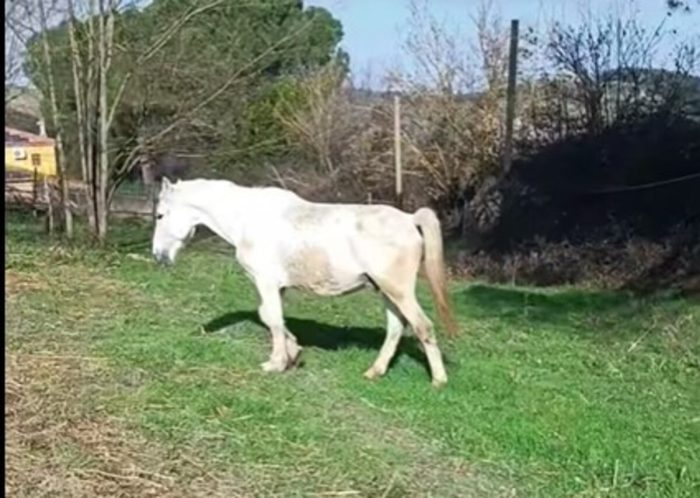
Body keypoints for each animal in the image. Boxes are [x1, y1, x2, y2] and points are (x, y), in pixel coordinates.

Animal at [151, 178, 458, 387]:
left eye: (160, 215)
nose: (158, 256)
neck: (248, 218)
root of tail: (410, 219)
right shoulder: (278, 287)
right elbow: (270, 317)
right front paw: (293, 354)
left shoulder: (265, 282)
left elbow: (272, 319)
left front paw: (275, 363)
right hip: (387, 291)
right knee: (396, 329)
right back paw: (374, 371)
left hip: (398, 291)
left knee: (423, 327)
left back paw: (439, 380)